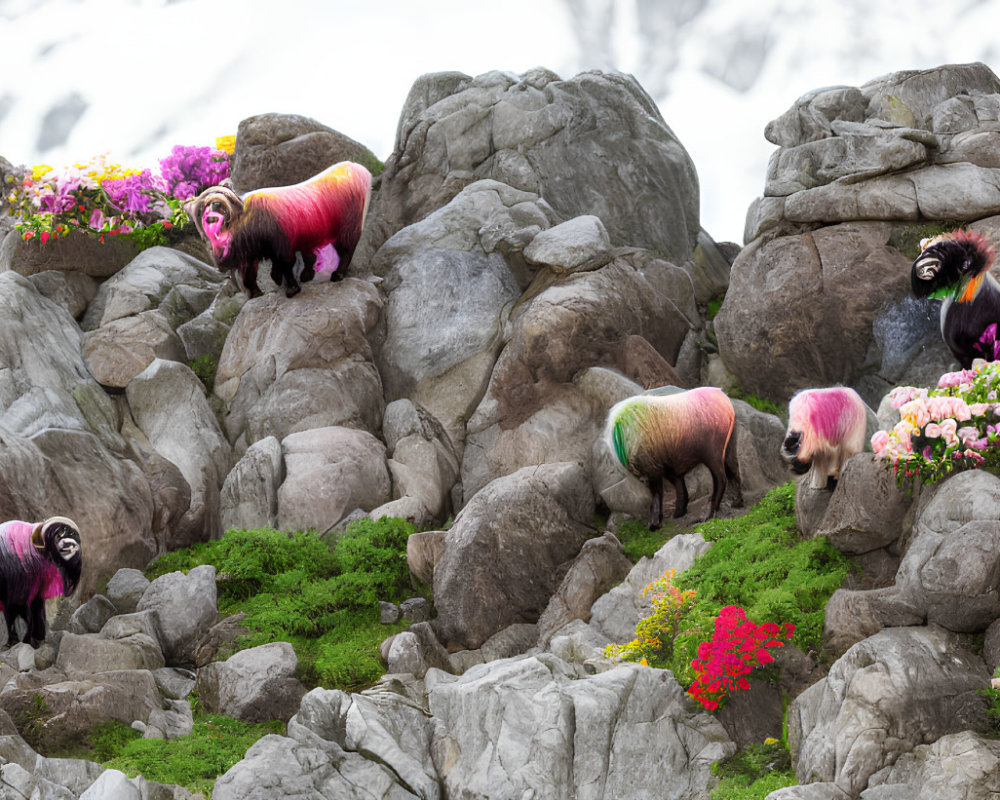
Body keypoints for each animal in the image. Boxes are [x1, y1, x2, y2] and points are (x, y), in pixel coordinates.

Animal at [600, 384, 736, 528]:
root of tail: (724, 398)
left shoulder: (652, 468)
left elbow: (657, 494)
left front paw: (654, 524)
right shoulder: (664, 465)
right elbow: (677, 486)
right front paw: (677, 513)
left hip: (713, 452)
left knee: (721, 480)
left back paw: (710, 514)